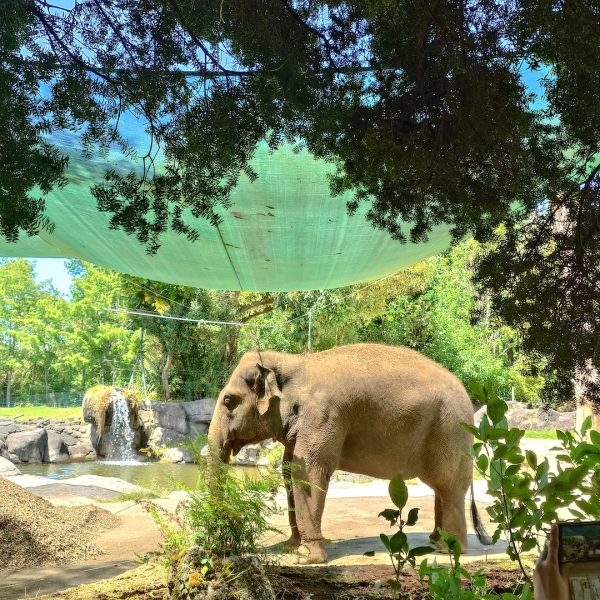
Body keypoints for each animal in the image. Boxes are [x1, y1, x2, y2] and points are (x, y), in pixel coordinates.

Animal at [209, 342, 490, 564]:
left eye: (228, 401)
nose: (224, 546)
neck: (292, 361)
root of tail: (469, 398)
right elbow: (289, 470)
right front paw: (290, 548)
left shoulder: (323, 416)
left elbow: (308, 472)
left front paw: (308, 558)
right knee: (441, 489)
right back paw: (435, 541)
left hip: (449, 431)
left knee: (448, 486)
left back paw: (449, 549)